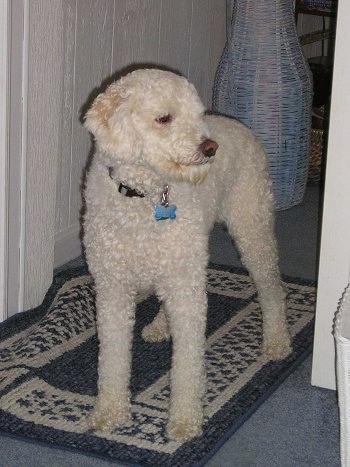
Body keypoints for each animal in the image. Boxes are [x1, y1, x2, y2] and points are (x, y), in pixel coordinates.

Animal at [83, 68, 292, 442]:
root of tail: (237, 124)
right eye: (164, 118)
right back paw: (160, 325)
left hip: (251, 231)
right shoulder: (112, 289)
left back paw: (277, 342)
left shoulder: (185, 290)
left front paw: (184, 420)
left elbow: (187, 364)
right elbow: (112, 359)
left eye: (196, 114)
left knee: (272, 290)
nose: (210, 148)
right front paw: (110, 413)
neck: (143, 198)